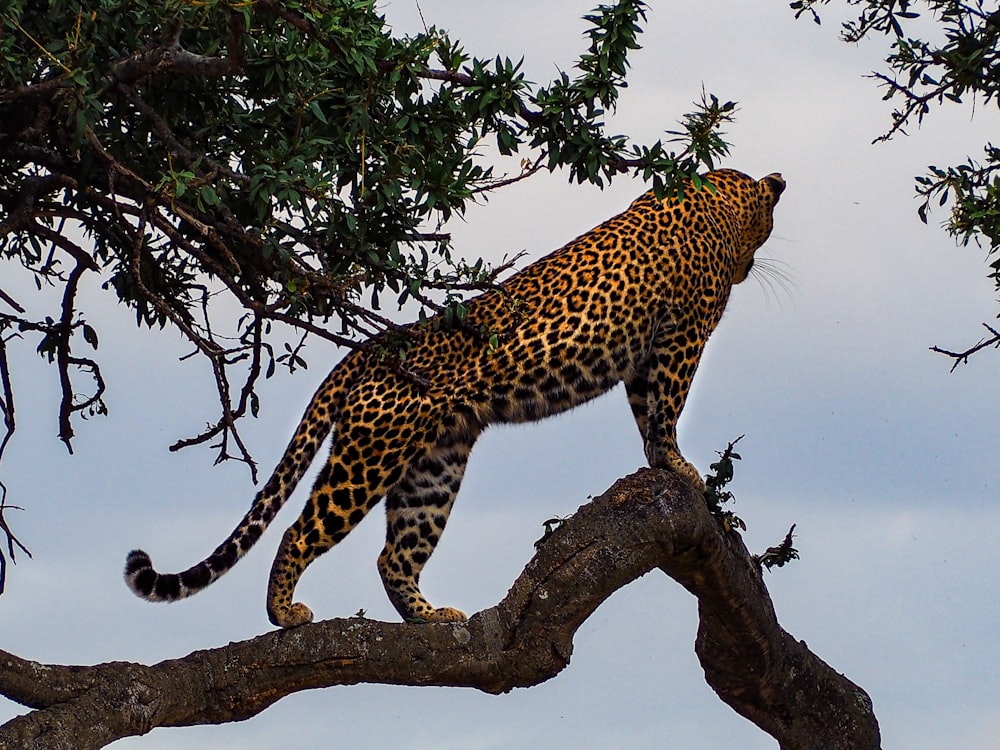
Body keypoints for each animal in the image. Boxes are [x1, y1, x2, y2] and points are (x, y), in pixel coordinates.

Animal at [125, 169, 784, 628]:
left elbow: (648, 412)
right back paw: (284, 613)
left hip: (433, 468)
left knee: (393, 556)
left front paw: (661, 462)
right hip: (367, 459)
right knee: (298, 531)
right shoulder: (681, 337)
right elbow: (665, 408)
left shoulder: (650, 352)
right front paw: (678, 465)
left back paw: (428, 617)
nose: (750, 269)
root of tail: (368, 350)